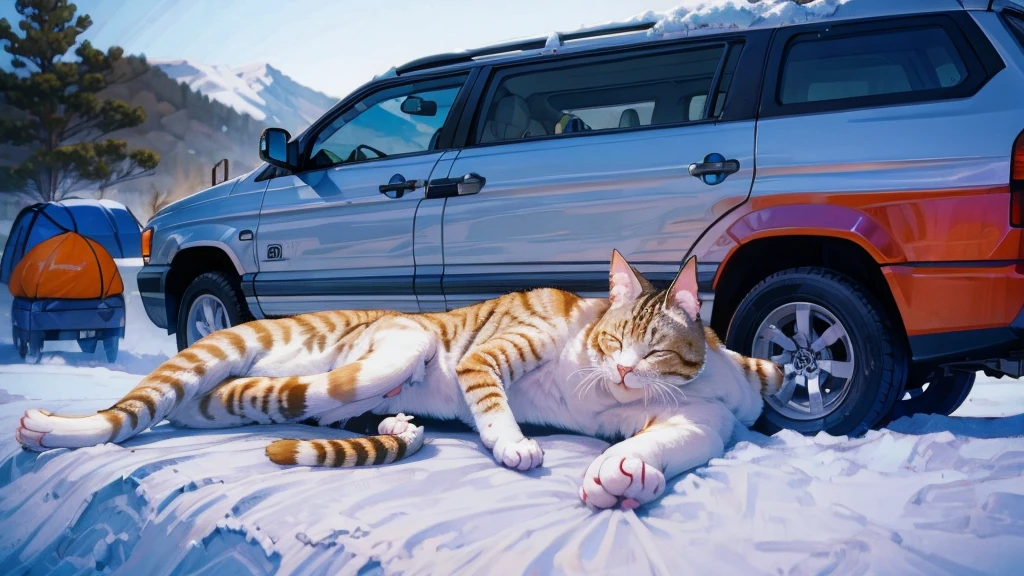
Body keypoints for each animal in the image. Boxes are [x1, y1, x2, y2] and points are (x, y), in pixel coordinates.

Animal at [16, 250, 778, 506]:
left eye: (652, 349)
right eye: (616, 339)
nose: (620, 367)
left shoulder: (703, 423)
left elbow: (664, 443)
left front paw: (626, 475)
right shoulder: (493, 350)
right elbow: (488, 398)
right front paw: (513, 444)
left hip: (240, 397)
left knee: (299, 399)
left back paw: (380, 418)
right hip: (243, 349)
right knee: (122, 413)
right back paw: (49, 427)